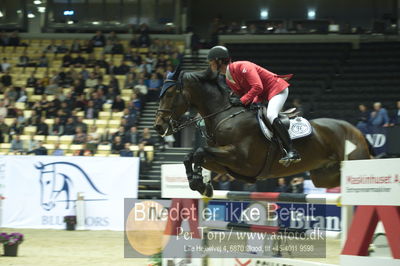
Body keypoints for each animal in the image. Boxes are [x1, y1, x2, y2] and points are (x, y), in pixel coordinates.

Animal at [153, 67, 368, 197]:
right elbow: (190, 156)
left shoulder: (240, 158)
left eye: (170, 94)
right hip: (324, 176)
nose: (158, 126)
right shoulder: (223, 163)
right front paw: (200, 183)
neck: (225, 114)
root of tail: (357, 132)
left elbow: (198, 152)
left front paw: (198, 181)